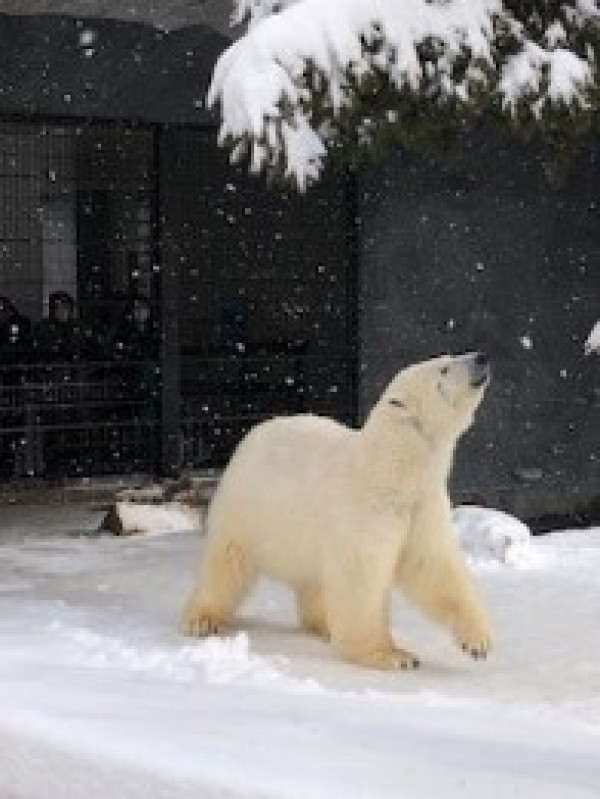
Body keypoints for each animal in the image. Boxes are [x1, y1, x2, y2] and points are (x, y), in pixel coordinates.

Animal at [183, 352, 492, 668]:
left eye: (451, 357)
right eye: (444, 368)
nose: (481, 357)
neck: (390, 470)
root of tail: (254, 432)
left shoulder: (421, 506)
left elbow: (431, 564)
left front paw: (477, 642)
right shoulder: (365, 510)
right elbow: (360, 575)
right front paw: (393, 655)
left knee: (314, 578)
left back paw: (323, 625)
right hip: (248, 508)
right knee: (227, 563)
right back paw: (204, 619)